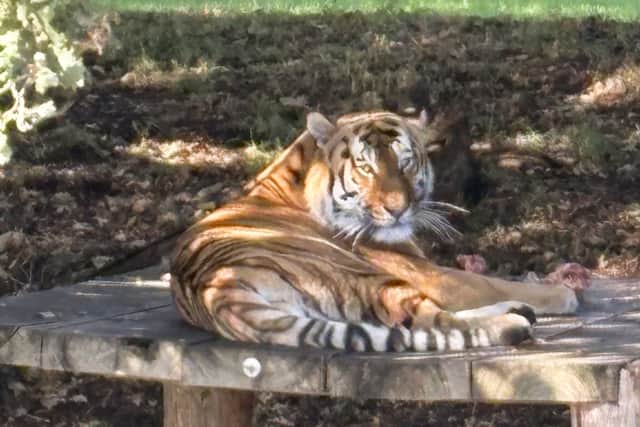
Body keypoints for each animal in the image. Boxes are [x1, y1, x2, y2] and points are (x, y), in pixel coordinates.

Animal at [170, 110, 579, 352]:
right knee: (437, 321)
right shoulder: (432, 275)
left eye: (405, 162)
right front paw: (562, 292)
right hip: (369, 279)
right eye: (365, 168)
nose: (397, 209)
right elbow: (493, 282)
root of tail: (220, 293)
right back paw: (514, 320)